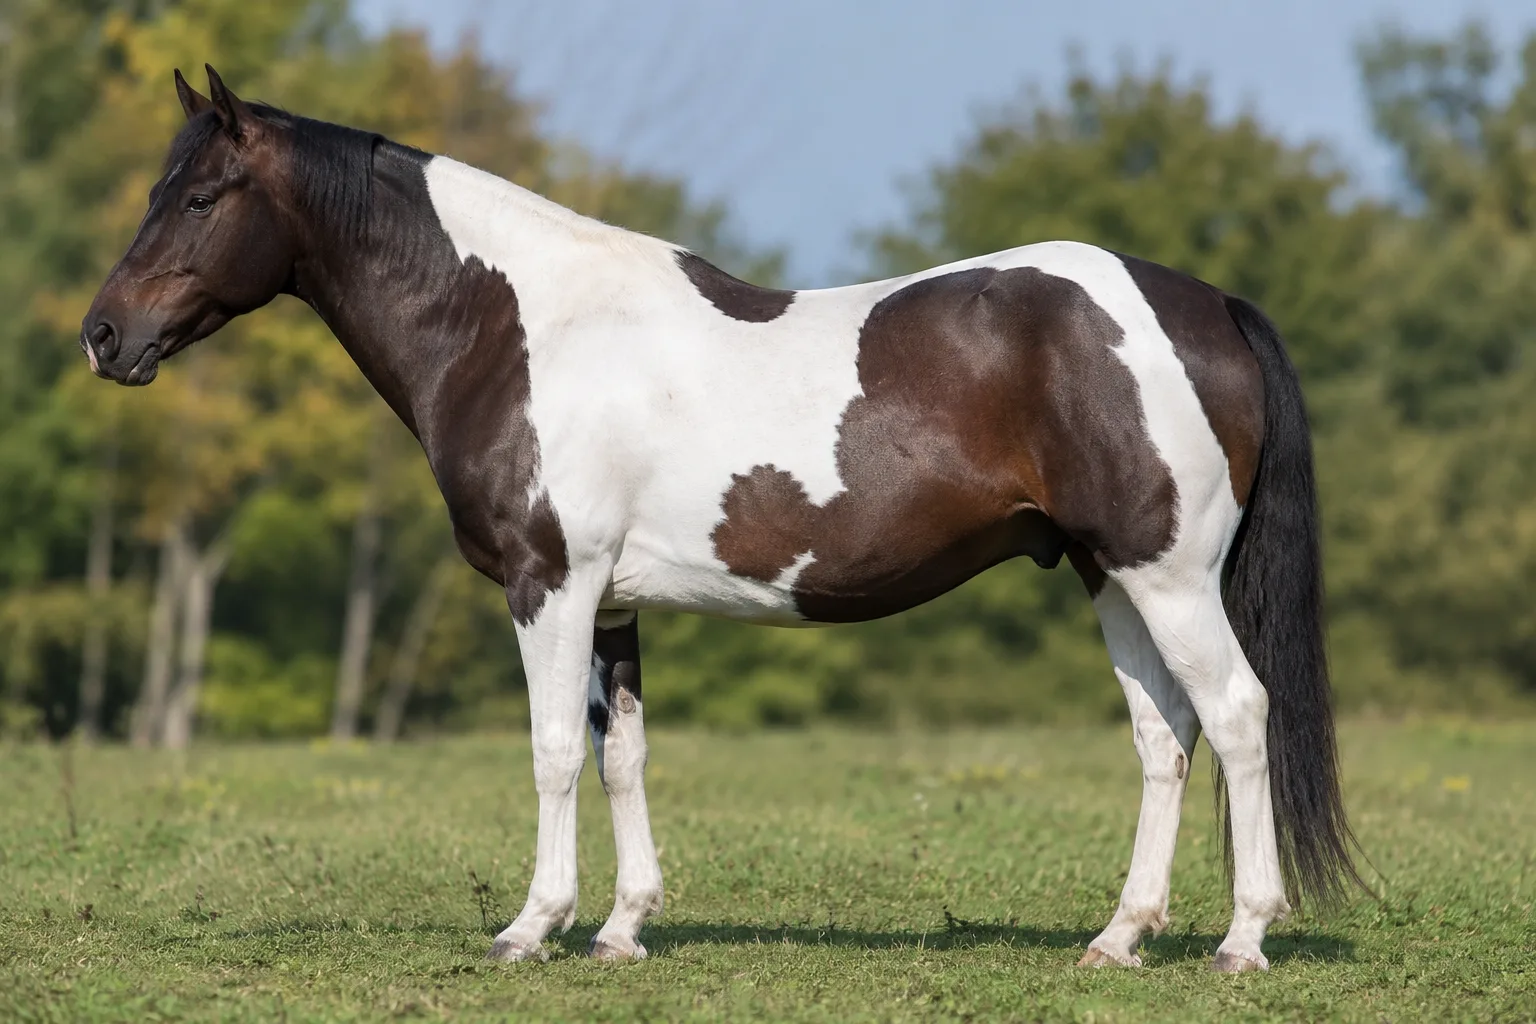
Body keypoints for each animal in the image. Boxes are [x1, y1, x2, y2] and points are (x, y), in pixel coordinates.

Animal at [81, 66, 1362, 971]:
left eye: (200, 197)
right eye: (152, 192)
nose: (103, 335)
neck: (517, 326)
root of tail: (1208, 302)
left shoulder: (549, 585)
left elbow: (553, 752)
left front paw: (532, 926)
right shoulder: (611, 603)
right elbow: (623, 755)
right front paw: (620, 927)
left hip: (1171, 577)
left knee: (1237, 715)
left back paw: (1242, 940)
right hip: (1113, 576)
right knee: (1164, 738)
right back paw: (1119, 937)